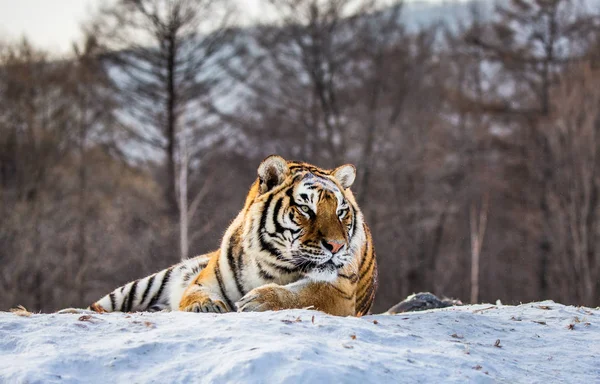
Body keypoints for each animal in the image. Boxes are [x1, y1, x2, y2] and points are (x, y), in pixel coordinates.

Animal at [90, 154, 376, 316]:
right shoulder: (204, 280)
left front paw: (258, 300)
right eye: (306, 209)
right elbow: (194, 292)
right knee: (100, 305)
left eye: (341, 212)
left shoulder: (339, 290)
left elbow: (305, 294)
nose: (336, 246)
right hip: (149, 282)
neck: (273, 264)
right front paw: (206, 305)